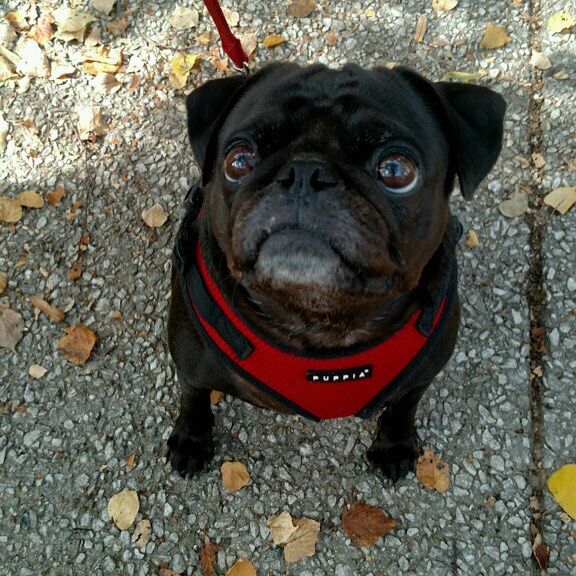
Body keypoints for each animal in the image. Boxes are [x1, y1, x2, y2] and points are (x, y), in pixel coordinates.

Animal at [165, 60, 504, 480]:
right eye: (239, 161)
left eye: (396, 170)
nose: (304, 172)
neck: (321, 324)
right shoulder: (190, 368)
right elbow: (192, 399)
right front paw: (191, 440)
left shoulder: (420, 378)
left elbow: (403, 407)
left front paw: (395, 445)